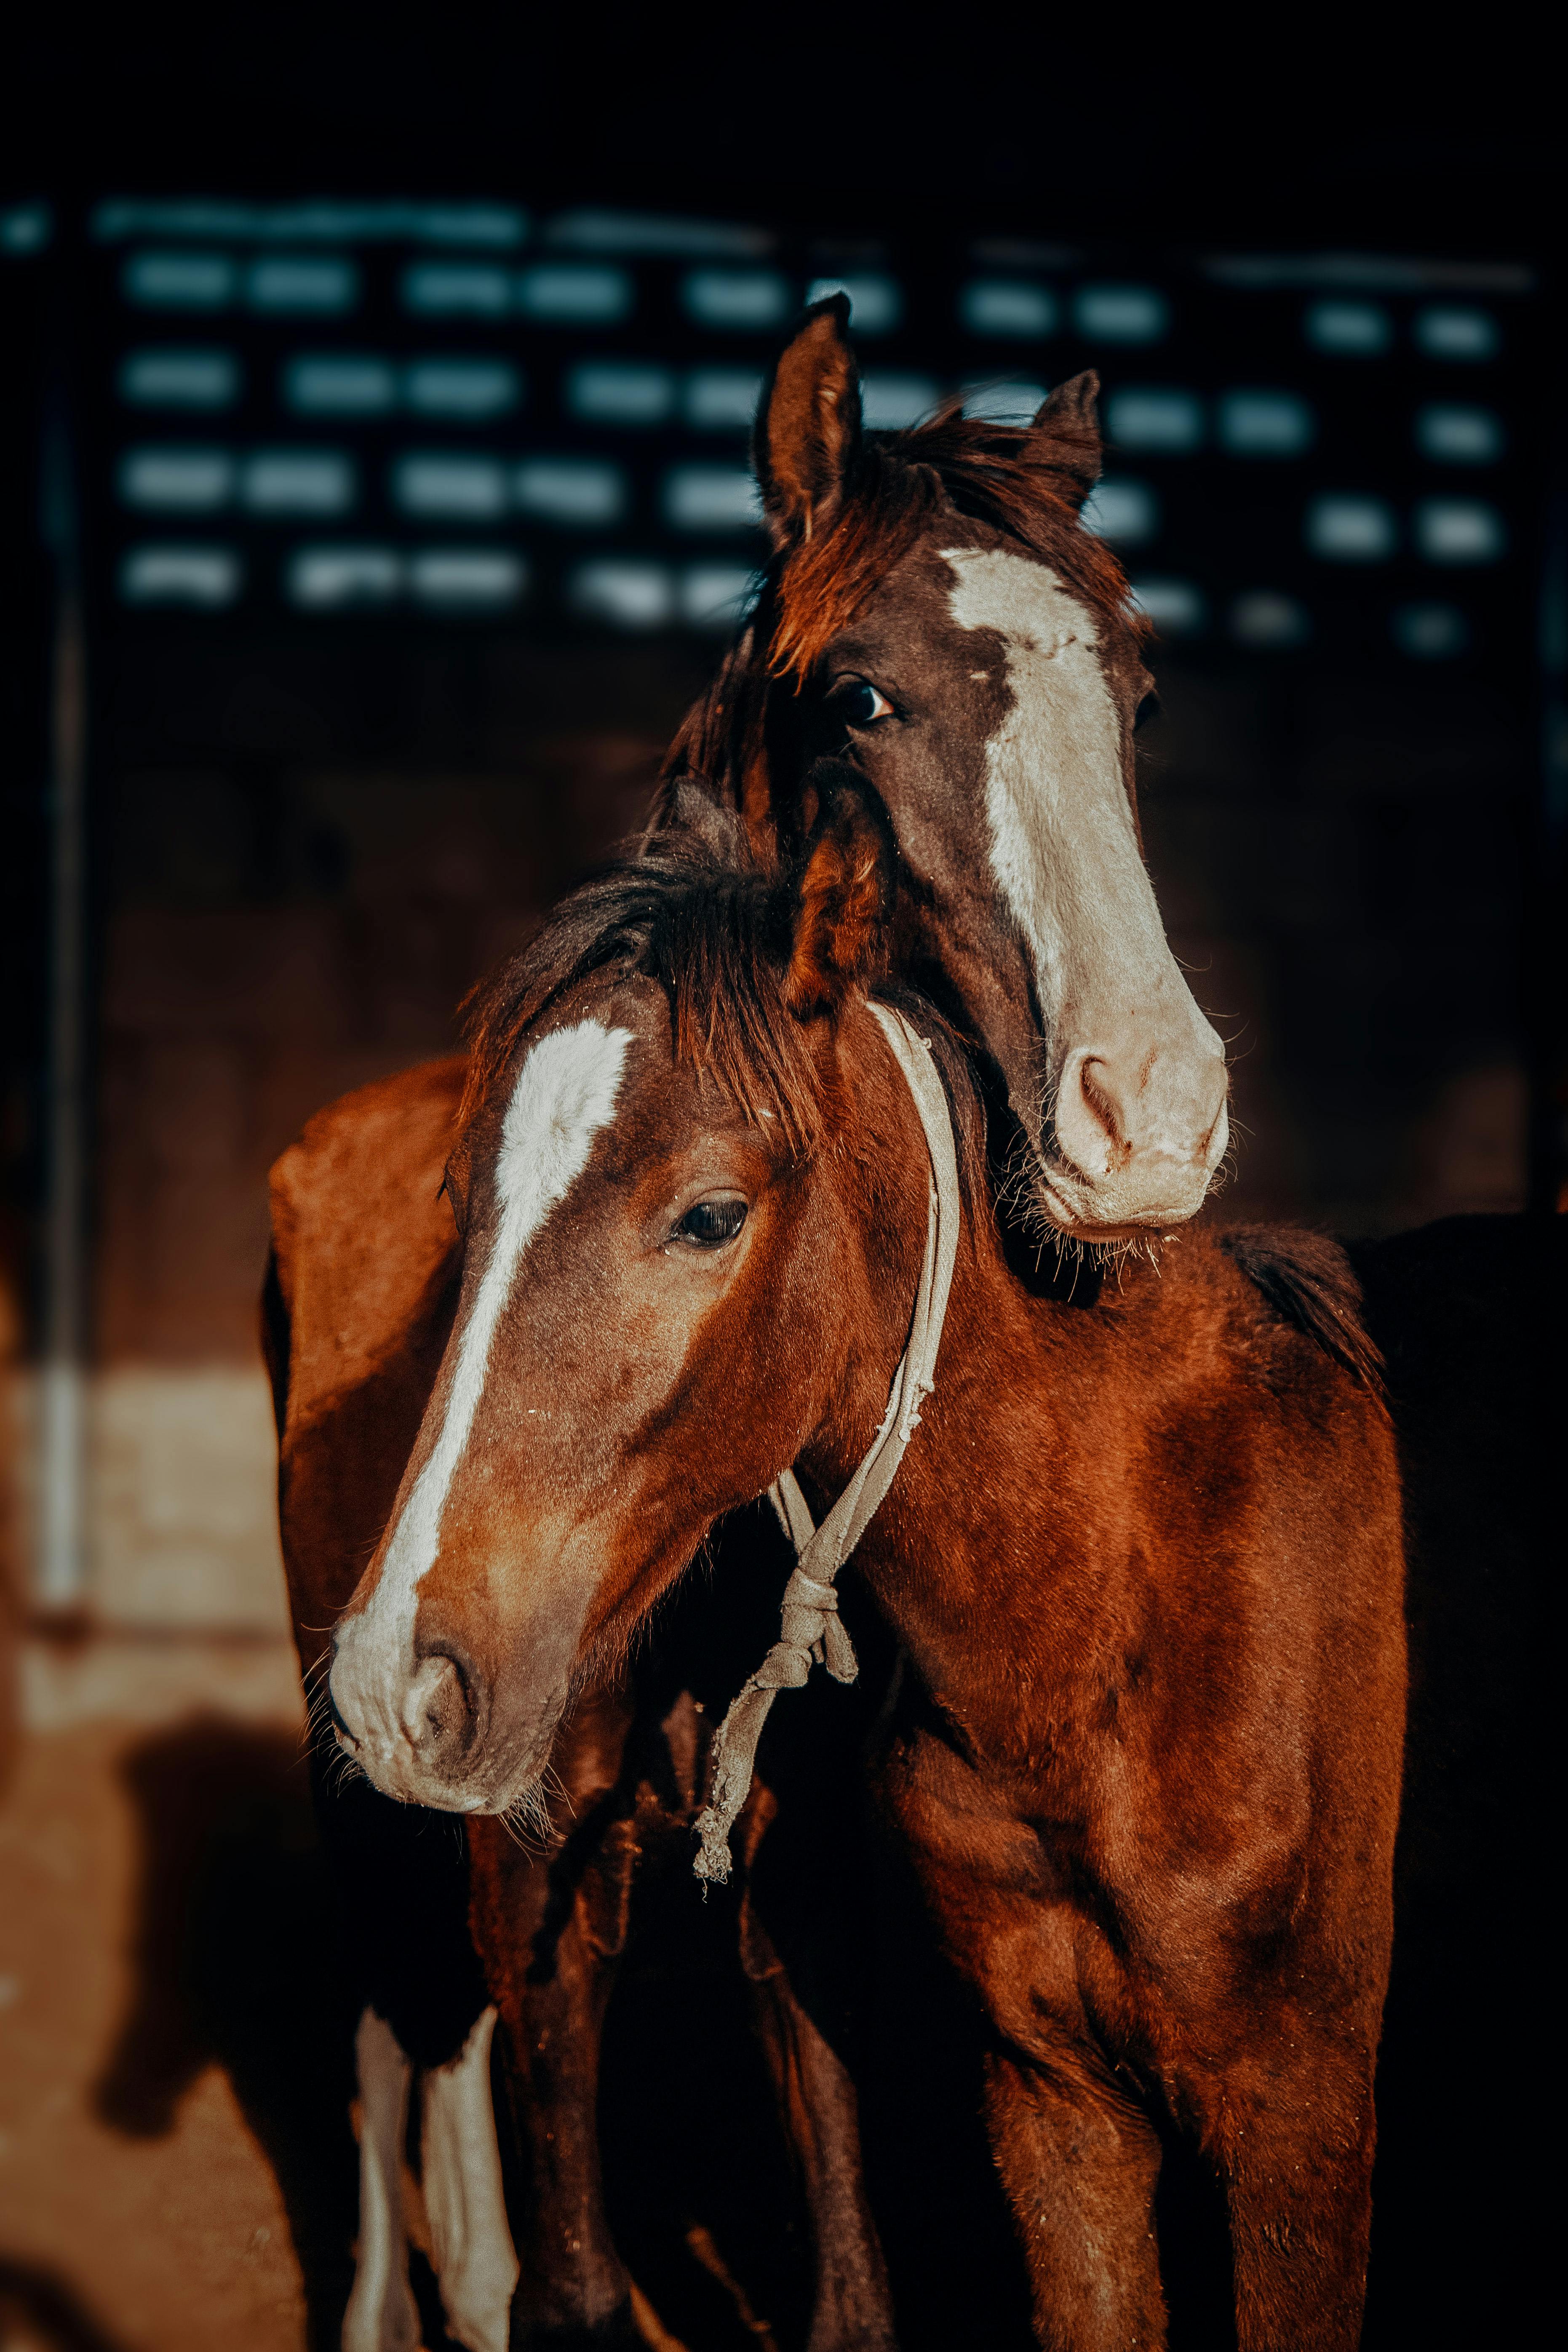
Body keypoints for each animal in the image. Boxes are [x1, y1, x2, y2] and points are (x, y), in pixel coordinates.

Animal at [266, 295, 1235, 2346]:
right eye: (861, 696)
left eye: (1140, 692)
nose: (1152, 1114)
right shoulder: (539, 1849)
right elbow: (568, 2258)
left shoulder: (798, 1869)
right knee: (394, 2037)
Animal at [326, 799, 1406, 2352]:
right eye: (459, 1206)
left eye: (707, 1216)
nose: (388, 1685)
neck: (1137, 1604)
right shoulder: (1057, 2107)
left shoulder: (1298, 2132)